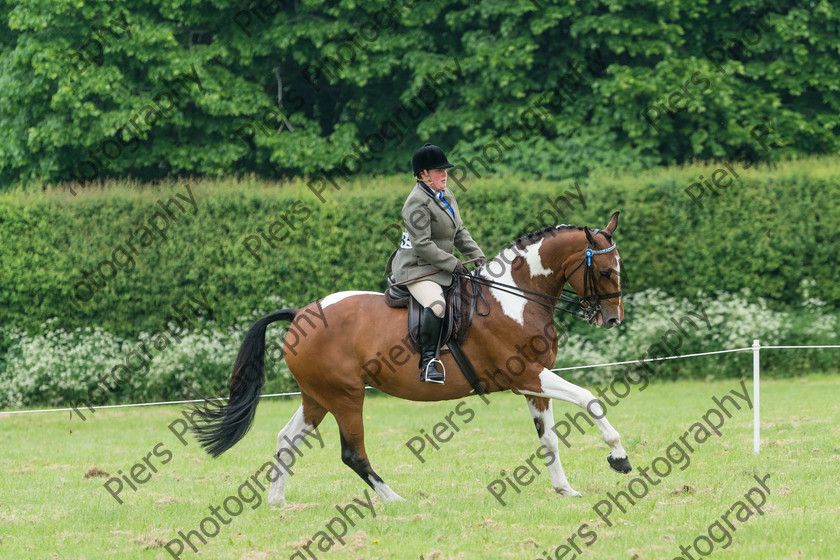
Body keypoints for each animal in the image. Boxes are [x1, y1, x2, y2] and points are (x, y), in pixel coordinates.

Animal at [190, 212, 632, 506]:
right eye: (605, 271)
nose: (612, 318)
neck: (517, 298)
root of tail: (301, 315)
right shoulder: (527, 375)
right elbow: (590, 399)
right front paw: (618, 457)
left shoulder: (533, 383)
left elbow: (549, 438)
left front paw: (564, 489)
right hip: (346, 396)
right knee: (352, 453)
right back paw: (394, 499)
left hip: (317, 396)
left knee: (287, 438)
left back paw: (277, 501)